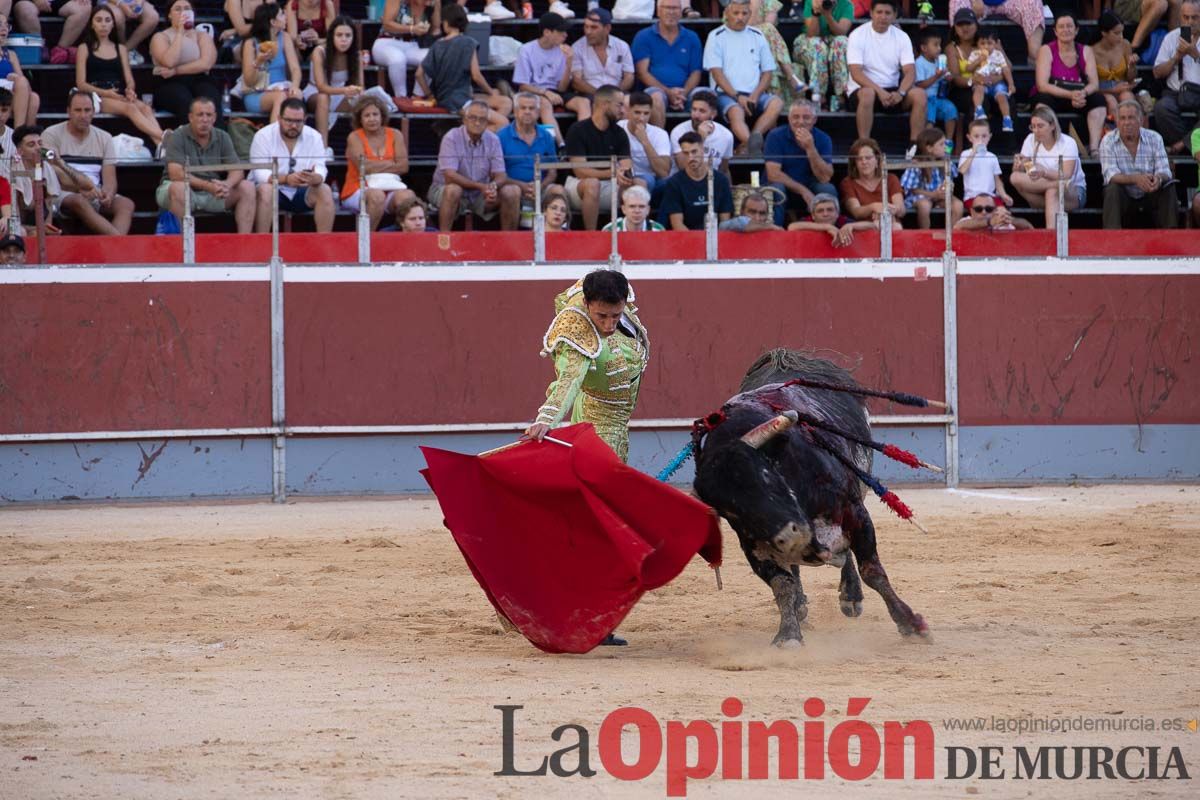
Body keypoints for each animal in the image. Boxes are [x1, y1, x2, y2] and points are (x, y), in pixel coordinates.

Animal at [691, 347, 931, 642]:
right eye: (729, 511)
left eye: (765, 475)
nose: (789, 536)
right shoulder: (754, 545)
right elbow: (782, 585)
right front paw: (788, 634)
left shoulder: (854, 512)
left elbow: (871, 571)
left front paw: (911, 623)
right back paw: (801, 605)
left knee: (847, 557)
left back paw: (851, 596)